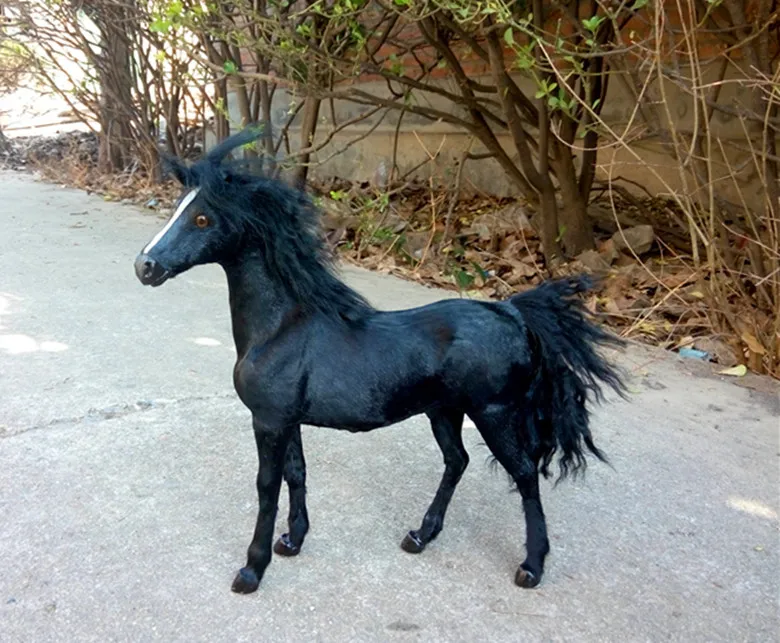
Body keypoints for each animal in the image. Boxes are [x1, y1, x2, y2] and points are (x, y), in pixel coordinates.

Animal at [134, 130, 626, 595]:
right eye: (178, 207)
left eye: (202, 217)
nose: (145, 267)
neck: (281, 330)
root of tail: (513, 312)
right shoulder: (286, 421)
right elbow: (297, 473)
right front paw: (292, 541)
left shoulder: (269, 421)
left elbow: (267, 487)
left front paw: (252, 570)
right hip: (445, 411)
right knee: (458, 461)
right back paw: (420, 536)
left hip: (493, 415)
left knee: (524, 476)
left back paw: (531, 567)